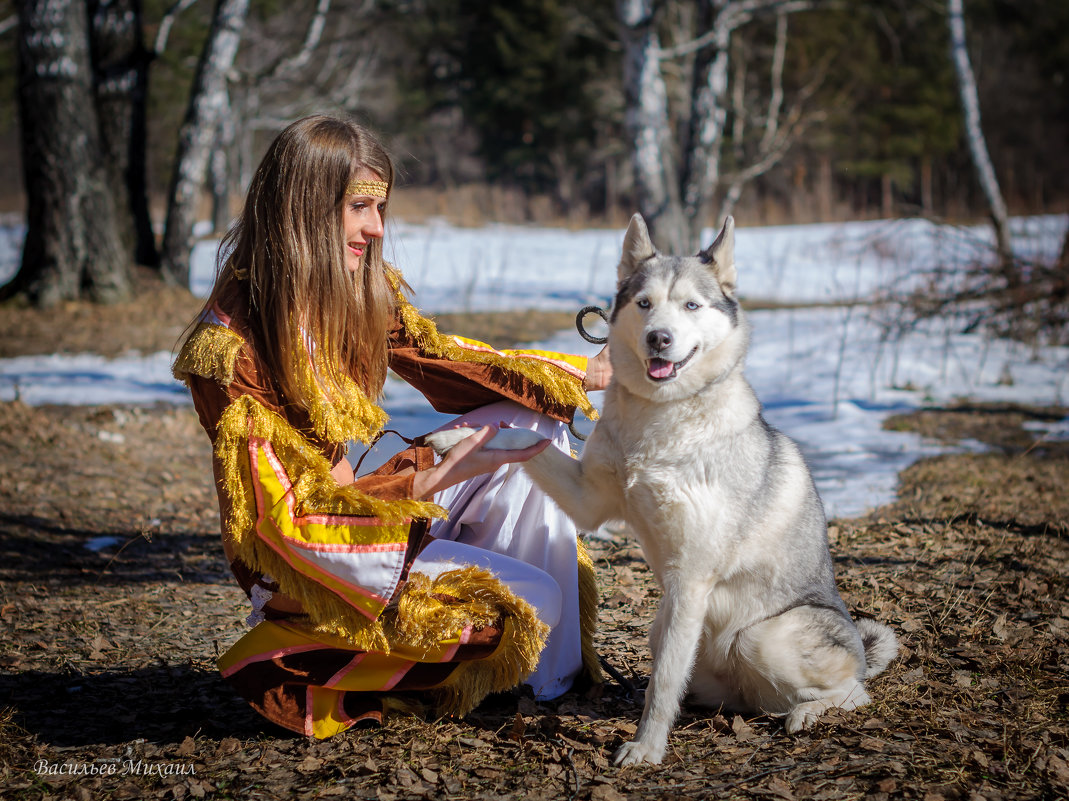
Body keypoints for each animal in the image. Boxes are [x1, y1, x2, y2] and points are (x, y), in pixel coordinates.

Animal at [429, 212, 897, 761]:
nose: (659, 338)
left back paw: (807, 712)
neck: (658, 420)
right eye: (644, 303)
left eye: (691, 305)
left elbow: (665, 680)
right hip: (666, 630)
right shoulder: (589, 500)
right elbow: (520, 437)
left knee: (853, 691)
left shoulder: (690, 578)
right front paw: (461, 438)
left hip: (759, 638)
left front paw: (645, 749)